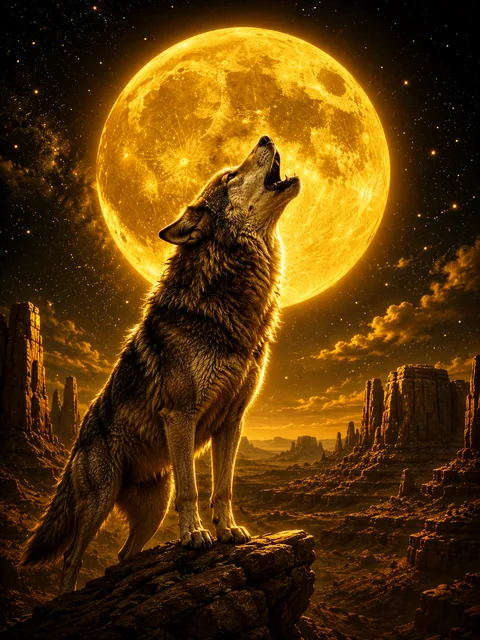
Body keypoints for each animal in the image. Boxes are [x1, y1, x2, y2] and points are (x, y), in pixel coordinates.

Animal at [21, 135, 301, 594]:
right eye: (230, 175)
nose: (265, 137)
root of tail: (78, 439)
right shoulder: (180, 416)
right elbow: (193, 490)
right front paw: (196, 535)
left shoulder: (233, 421)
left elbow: (223, 487)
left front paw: (229, 530)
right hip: (99, 501)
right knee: (70, 559)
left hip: (152, 506)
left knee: (120, 556)